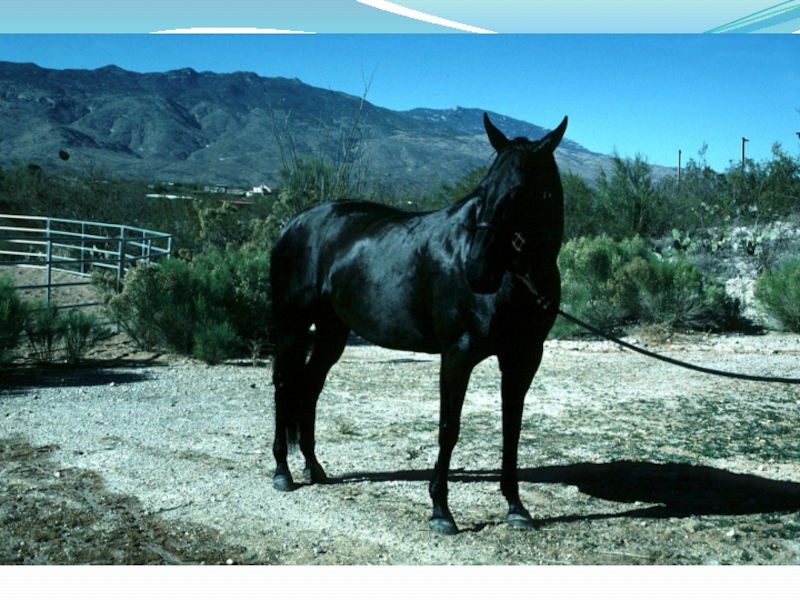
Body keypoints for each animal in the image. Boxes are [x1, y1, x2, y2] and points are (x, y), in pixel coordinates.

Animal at [272, 113, 564, 536]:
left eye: (522, 191)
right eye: (483, 189)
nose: (477, 270)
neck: (517, 280)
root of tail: (294, 224)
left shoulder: (523, 358)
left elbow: (512, 429)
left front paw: (515, 506)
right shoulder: (458, 354)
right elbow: (449, 427)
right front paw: (441, 510)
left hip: (332, 333)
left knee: (309, 387)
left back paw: (314, 468)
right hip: (292, 327)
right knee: (283, 386)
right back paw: (282, 471)